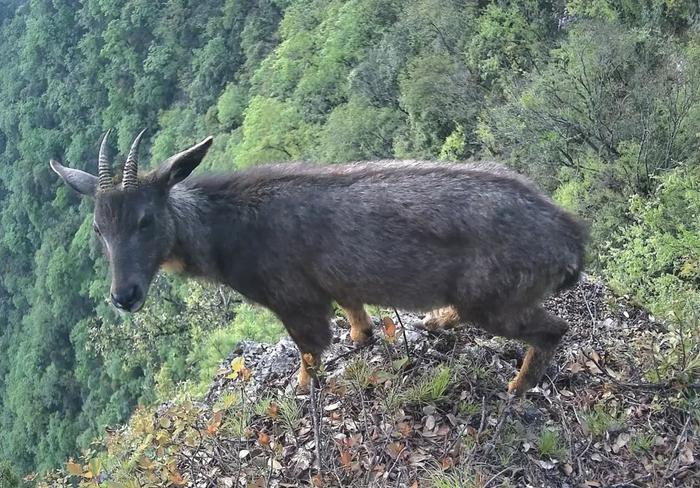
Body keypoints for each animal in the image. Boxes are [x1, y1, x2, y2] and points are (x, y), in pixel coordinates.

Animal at [50, 132, 584, 394]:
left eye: (144, 220)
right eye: (99, 229)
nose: (123, 296)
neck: (227, 232)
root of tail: (570, 239)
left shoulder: (293, 298)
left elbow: (308, 348)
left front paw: (303, 385)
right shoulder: (335, 283)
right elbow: (354, 313)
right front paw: (362, 337)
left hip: (496, 300)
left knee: (552, 330)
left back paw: (518, 385)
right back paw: (438, 319)